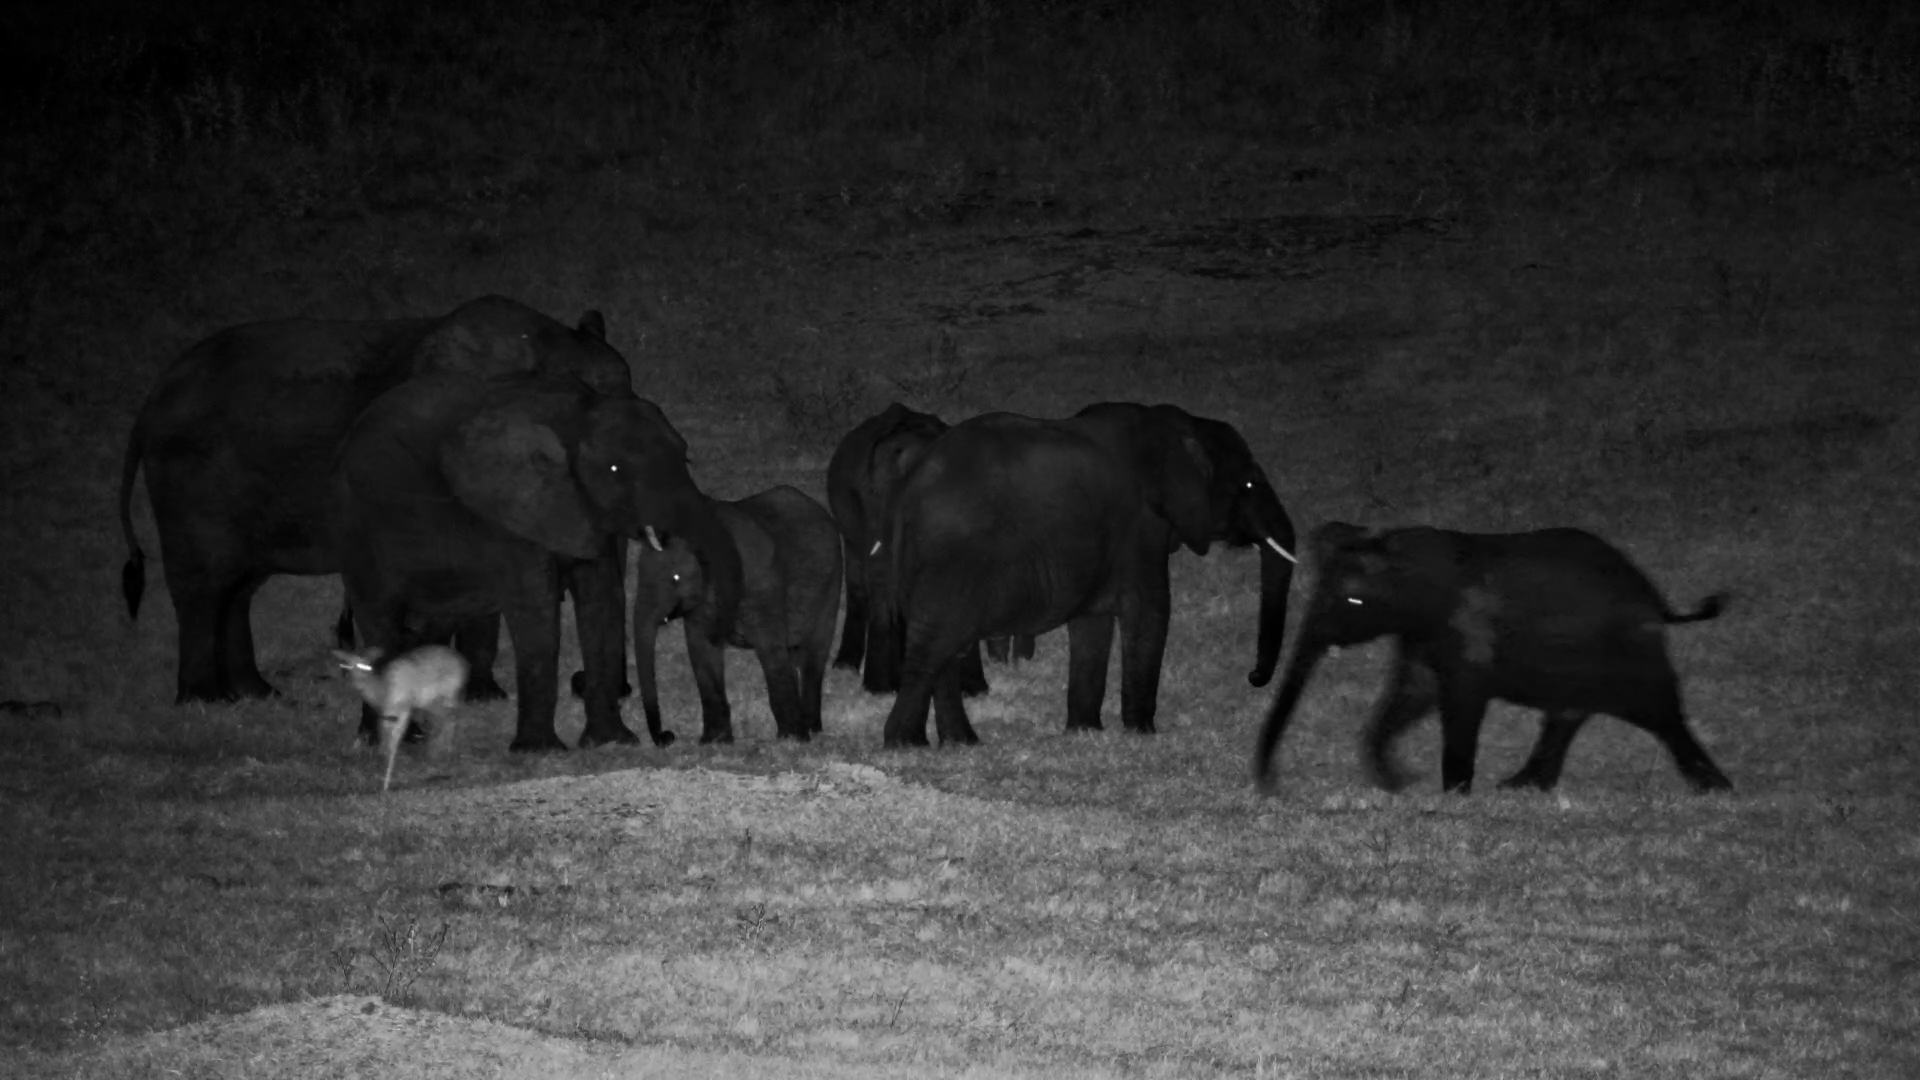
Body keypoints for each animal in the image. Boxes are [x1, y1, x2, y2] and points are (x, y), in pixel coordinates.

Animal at [118, 295, 634, 704]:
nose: (582, 683)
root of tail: (150, 403)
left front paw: (483, 696)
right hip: (189, 483)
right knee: (203, 584)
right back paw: (204, 701)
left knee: (238, 586)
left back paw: (255, 695)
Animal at [330, 373, 743, 752]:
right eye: (614, 471)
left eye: (685, 456)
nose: (667, 737)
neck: (577, 415)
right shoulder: (507, 513)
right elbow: (536, 609)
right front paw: (541, 751)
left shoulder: (581, 509)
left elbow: (602, 596)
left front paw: (610, 742)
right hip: (357, 528)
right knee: (380, 620)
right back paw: (381, 741)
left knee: (426, 625)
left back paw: (407, 735)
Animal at [625, 484, 842, 746]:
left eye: (675, 579)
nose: (667, 736)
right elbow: (702, 650)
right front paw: (714, 742)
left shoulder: (761, 586)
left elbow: (770, 649)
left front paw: (792, 739)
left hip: (832, 581)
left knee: (813, 654)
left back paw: (812, 730)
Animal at [870, 403, 1293, 747]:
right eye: (1250, 483)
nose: (1253, 676)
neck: (1183, 426)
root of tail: (907, 489)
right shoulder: (1141, 530)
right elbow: (1150, 613)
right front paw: (1142, 734)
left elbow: (1092, 624)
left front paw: (1085, 731)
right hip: (952, 562)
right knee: (936, 647)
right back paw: (906, 744)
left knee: (944, 649)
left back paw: (959, 744)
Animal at [1251, 523, 1734, 795]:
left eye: (1353, 600)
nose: (1271, 786)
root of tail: (1658, 601)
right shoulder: (1423, 633)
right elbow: (1413, 692)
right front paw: (1393, 781)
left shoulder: (1468, 628)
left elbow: (1460, 700)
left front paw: (1451, 794)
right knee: (1569, 713)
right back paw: (1522, 787)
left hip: (1630, 651)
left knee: (1659, 710)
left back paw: (1714, 788)